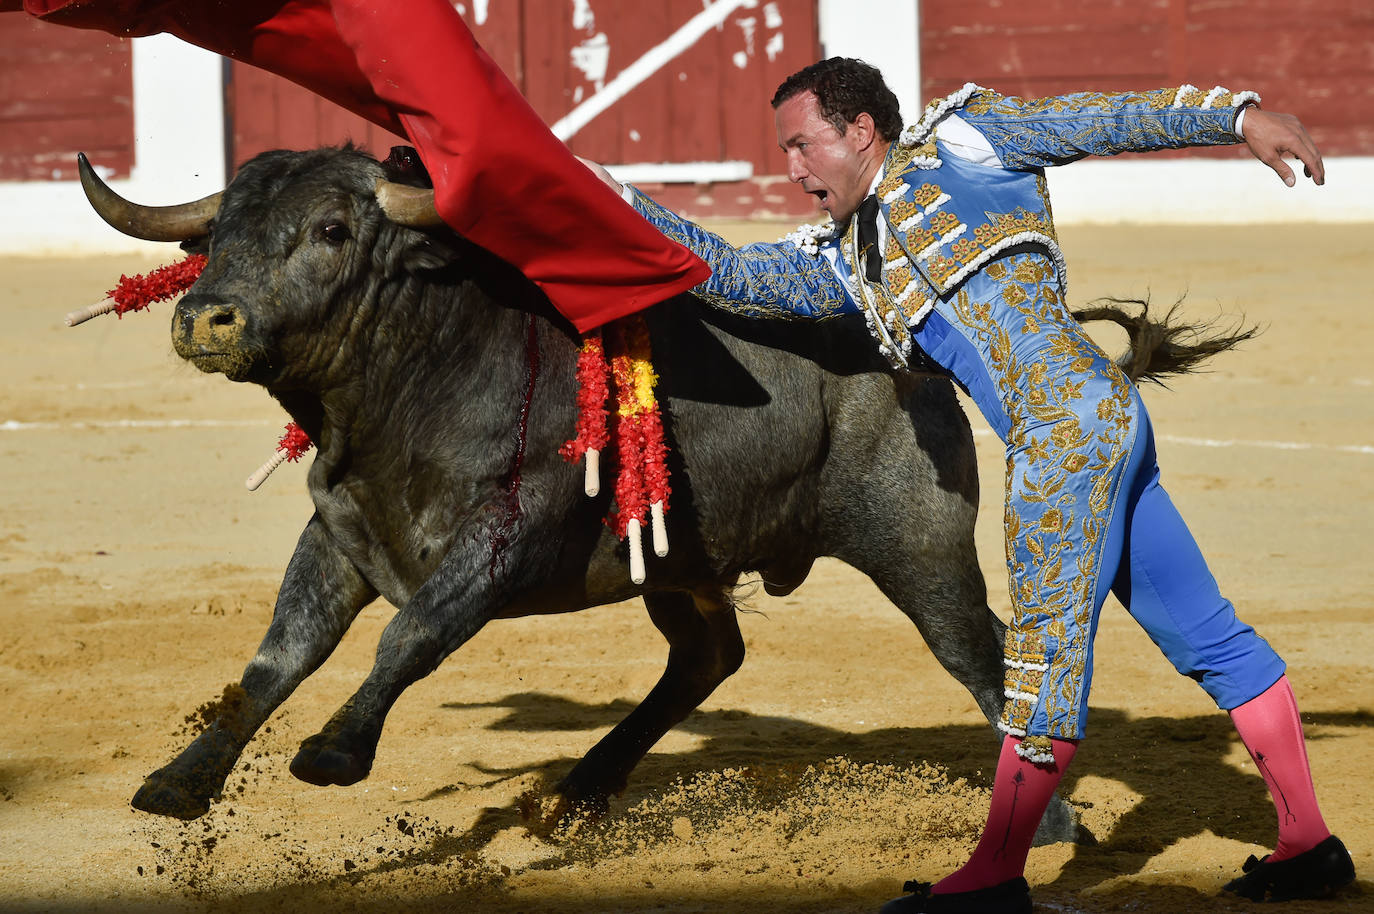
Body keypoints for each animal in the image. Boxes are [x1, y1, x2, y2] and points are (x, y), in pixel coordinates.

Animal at [75, 144, 1236, 835]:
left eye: (330, 231)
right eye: (214, 236)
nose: (206, 318)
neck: (412, 380)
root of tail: (900, 336)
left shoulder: (501, 541)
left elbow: (409, 636)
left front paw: (332, 752)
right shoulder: (337, 534)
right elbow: (276, 658)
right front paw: (181, 781)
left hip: (918, 547)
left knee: (983, 652)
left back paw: (1050, 822)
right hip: (683, 558)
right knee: (709, 653)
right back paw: (584, 784)